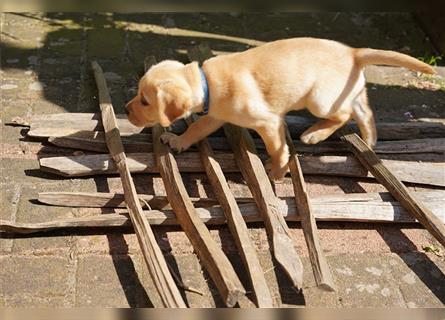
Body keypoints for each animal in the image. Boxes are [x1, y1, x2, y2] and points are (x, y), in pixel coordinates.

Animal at [125, 37, 434, 180]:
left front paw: (277, 170)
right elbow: (198, 128)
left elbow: (276, 148)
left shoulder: (268, 122)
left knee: (345, 114)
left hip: (319, 99)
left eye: (145, 101)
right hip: (344, 91)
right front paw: (178, 140)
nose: (126, 110)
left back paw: (314, 134)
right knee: (364, 110)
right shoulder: (215, 116)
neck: (206, 83)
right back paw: (369, 140)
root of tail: (353, 51)